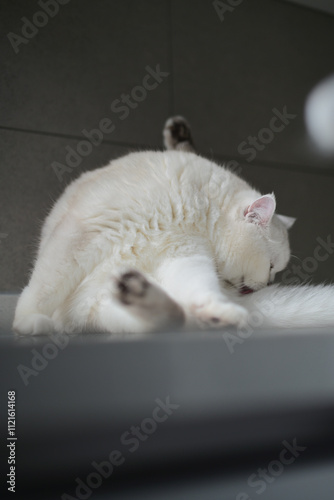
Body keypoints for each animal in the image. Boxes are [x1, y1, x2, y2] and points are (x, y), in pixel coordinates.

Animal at [11, 117, 334, 336]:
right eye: (271, 266)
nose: (267, 284)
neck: (194, 207)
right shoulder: (80, 238)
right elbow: (44, 287)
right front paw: (27, 320)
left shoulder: (185, 255)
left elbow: (199, 290)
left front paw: (218, 311)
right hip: (96, 297)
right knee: (174, 318)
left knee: (178, 317)